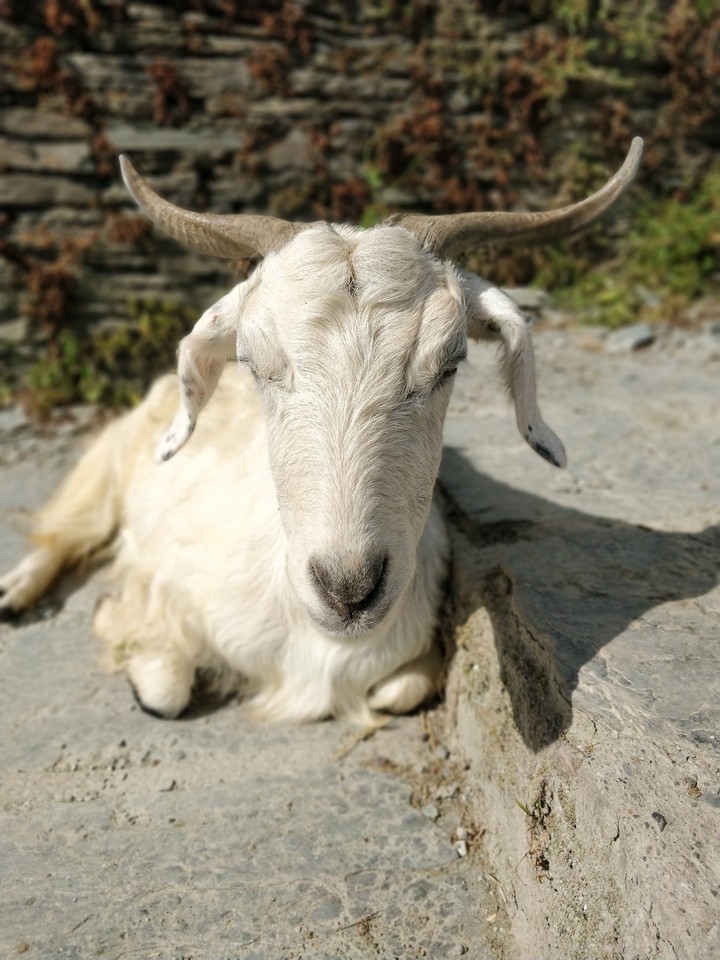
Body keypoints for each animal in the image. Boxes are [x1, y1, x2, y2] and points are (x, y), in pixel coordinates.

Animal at [0, 139, 643, 724]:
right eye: (252, 361)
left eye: (450, 363)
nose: (348, 591)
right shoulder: (165, 575)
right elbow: (164, 690)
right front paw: (113, 617)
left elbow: (400, 690)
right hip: (107, 463)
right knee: (65, 533)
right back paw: (13, 594)